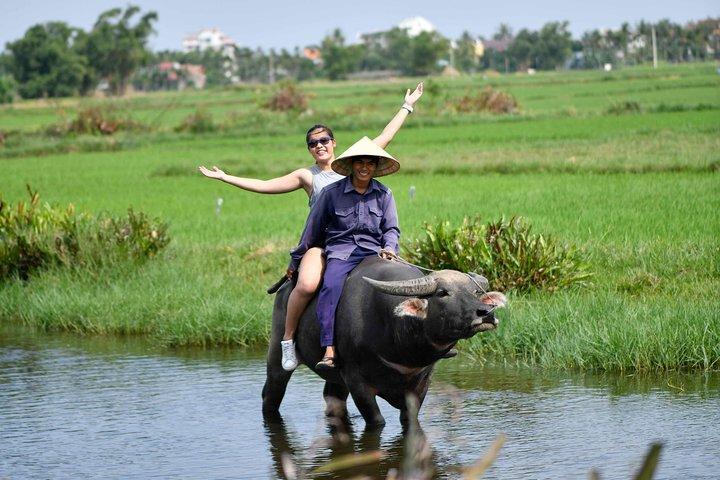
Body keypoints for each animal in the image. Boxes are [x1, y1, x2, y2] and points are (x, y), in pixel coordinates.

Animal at [262, 256, 507, 427]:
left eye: (476, 291)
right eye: (443, 292)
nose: (485, 313)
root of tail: (285, 288)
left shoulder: (422, 382)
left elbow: (409, 418)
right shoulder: (356, 381)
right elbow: (377, 421)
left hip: (335, 378)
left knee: (333, 399)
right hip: (276, 356)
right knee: (271, 393)